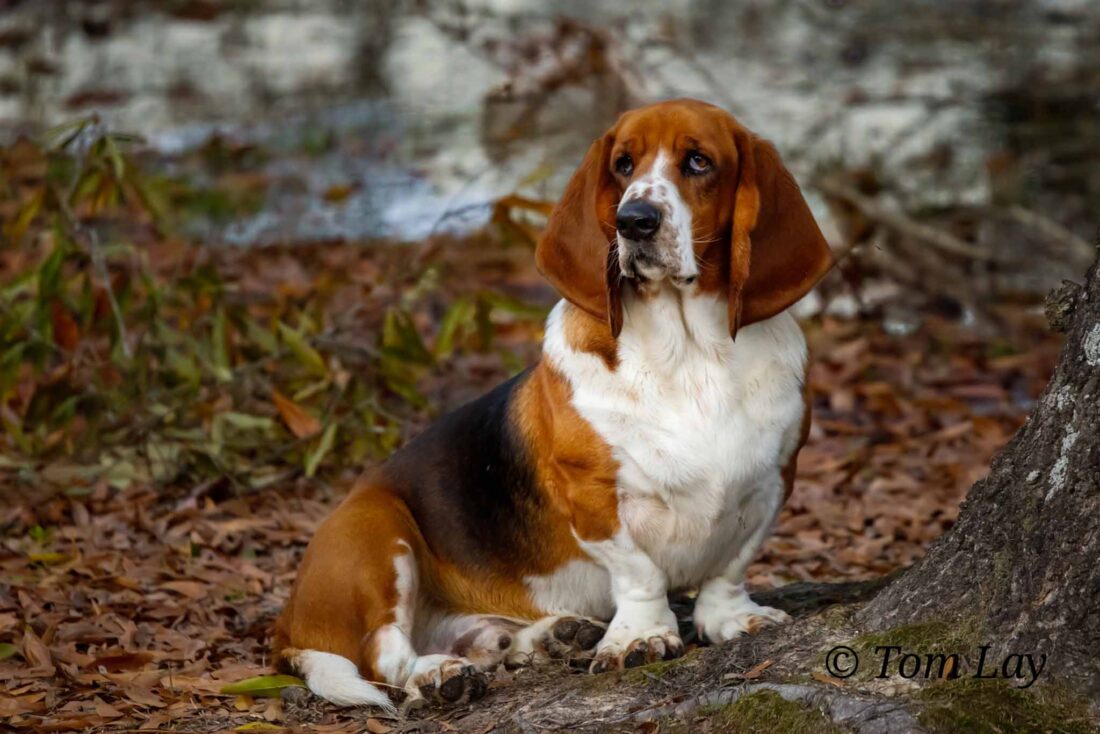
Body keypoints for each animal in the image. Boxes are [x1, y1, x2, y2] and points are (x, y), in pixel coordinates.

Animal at [272, 97, 831, 713]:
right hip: (377, 536)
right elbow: (639, 572)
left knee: (472, 637)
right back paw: (437, 675)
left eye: (699, 161)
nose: (634, 220)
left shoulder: (774, 478)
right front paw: (641, 637)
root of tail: (286, 623)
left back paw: (548, 637)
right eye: (623, 164)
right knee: (383, 654)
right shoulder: (594, 497)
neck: (689, 354)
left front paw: (731, 618)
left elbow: (729, 566)